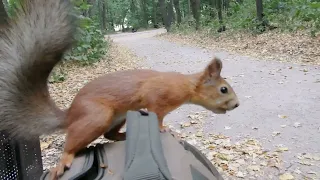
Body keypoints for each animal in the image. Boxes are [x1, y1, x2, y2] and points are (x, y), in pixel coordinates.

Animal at [0, 0, 239, 179]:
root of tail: (70, 113)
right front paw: (164, 129)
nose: (236, 105)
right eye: (224, 89)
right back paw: (65, 159)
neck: (186, 85)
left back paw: (125, 136)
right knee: (72, 143)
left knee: (110, 135)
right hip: (96, 116)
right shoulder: (156, 96)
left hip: (118, 116)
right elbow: (157, 114)